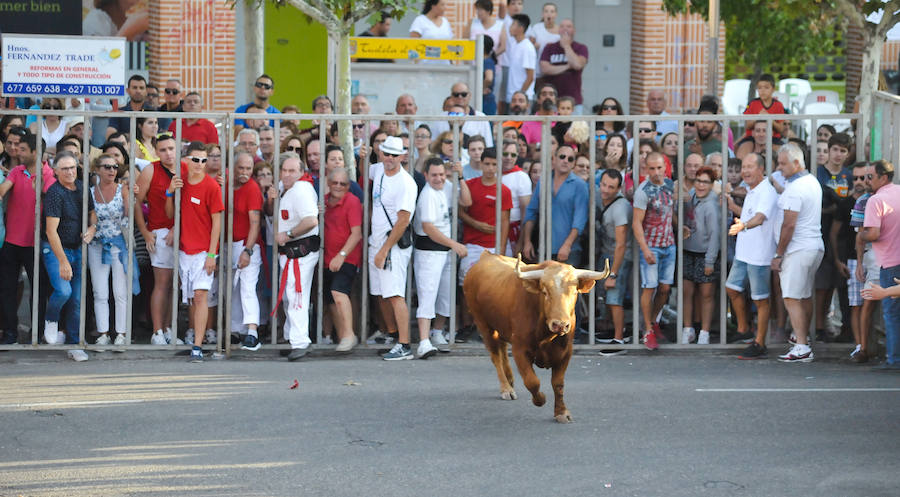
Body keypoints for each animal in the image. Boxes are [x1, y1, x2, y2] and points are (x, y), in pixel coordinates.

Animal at [464, 252, 604, 422]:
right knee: (496, 356)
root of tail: (487, 256)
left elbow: (558, 384)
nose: (560, 325)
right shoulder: (519, 350)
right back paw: (506, 388)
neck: (547, 336)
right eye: (545, 292)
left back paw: (510, 380)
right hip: (484, 325)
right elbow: (532, 382)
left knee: (502, 349)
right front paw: (540, 399)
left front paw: (562, 412)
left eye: (574, 292)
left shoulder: (566, 352)